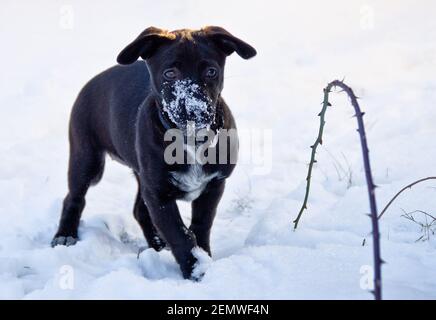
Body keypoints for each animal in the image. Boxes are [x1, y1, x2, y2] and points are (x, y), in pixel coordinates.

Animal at [52, 26, 255, 278]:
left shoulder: (213, 184)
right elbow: (178, 233)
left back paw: (157, 245)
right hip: (87, 158)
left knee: (139, 209)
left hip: (142, 174)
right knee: (74, 197)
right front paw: (195, 270)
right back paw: (65, 235)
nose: (194, 110)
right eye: (170, 73)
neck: (190, 140)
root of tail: (92, 82)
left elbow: (201, 225)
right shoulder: (159, 194)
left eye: (211, 72)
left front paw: (203, 259)